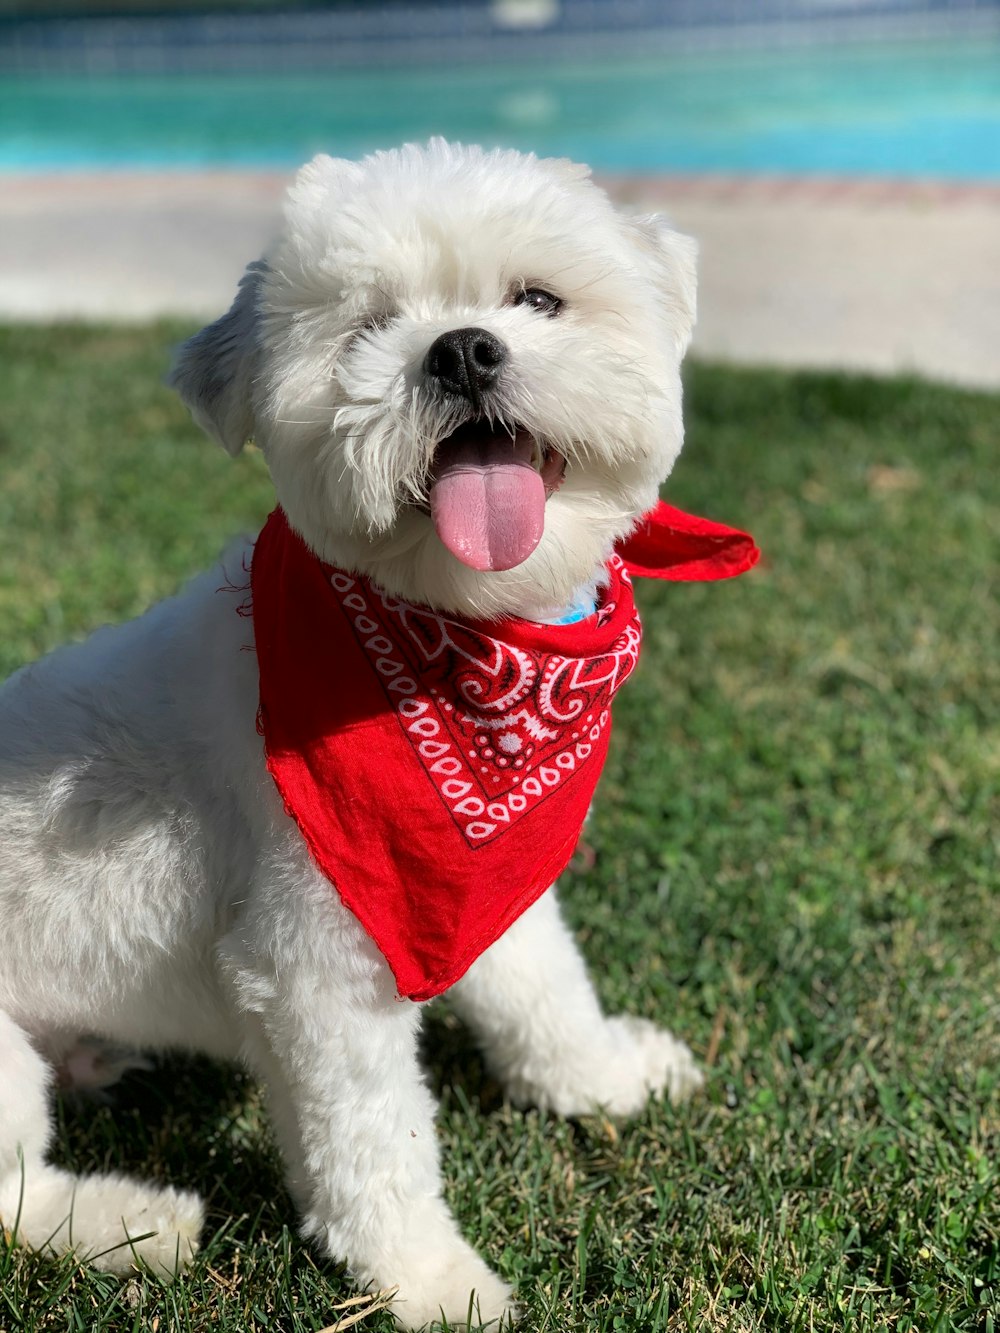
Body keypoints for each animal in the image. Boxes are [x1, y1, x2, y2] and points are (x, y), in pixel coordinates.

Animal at [1, 140, 720, 1327]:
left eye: (536, 299)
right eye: (367, 328)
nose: (462, 348)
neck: (463, 660)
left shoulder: (477, 875)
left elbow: (543, 986)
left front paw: (603, 1076)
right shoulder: (314, 964)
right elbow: (371, 1142)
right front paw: (429, 1279)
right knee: (12, 1196)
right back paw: (137, 1222)